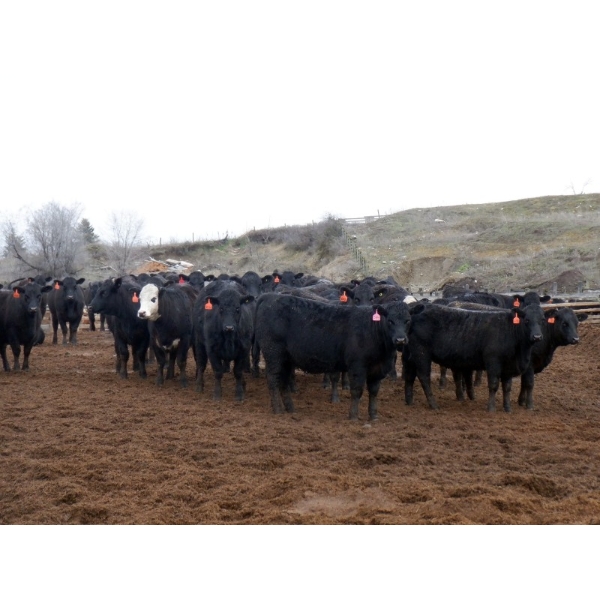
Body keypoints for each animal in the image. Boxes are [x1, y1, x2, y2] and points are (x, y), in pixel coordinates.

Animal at [254, 293, 411, 420]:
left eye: (408, 320)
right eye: (390, 321)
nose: (400, 340)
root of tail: (270, 296)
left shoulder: (377, 370)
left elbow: (373, 391)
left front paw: (373, 416)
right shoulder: (357, 365)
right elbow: (357, 390)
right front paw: (353, 416)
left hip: (286, 359)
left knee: (284, 381)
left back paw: (290, 409)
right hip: (274, 354)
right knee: (273, 379)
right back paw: (278, 410)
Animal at [402, 302, 546, 412]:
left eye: (542, 320)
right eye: (527, 320)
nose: (537, 337)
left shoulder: (508, 367)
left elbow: (507, 387)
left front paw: (507, 408)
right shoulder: (493, 361)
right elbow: (493, 385)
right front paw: (491, 408)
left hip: (411, 356)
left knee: (409, 376)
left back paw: (409, 401)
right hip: (421, 354)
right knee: (424, 377)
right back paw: (433, 405)